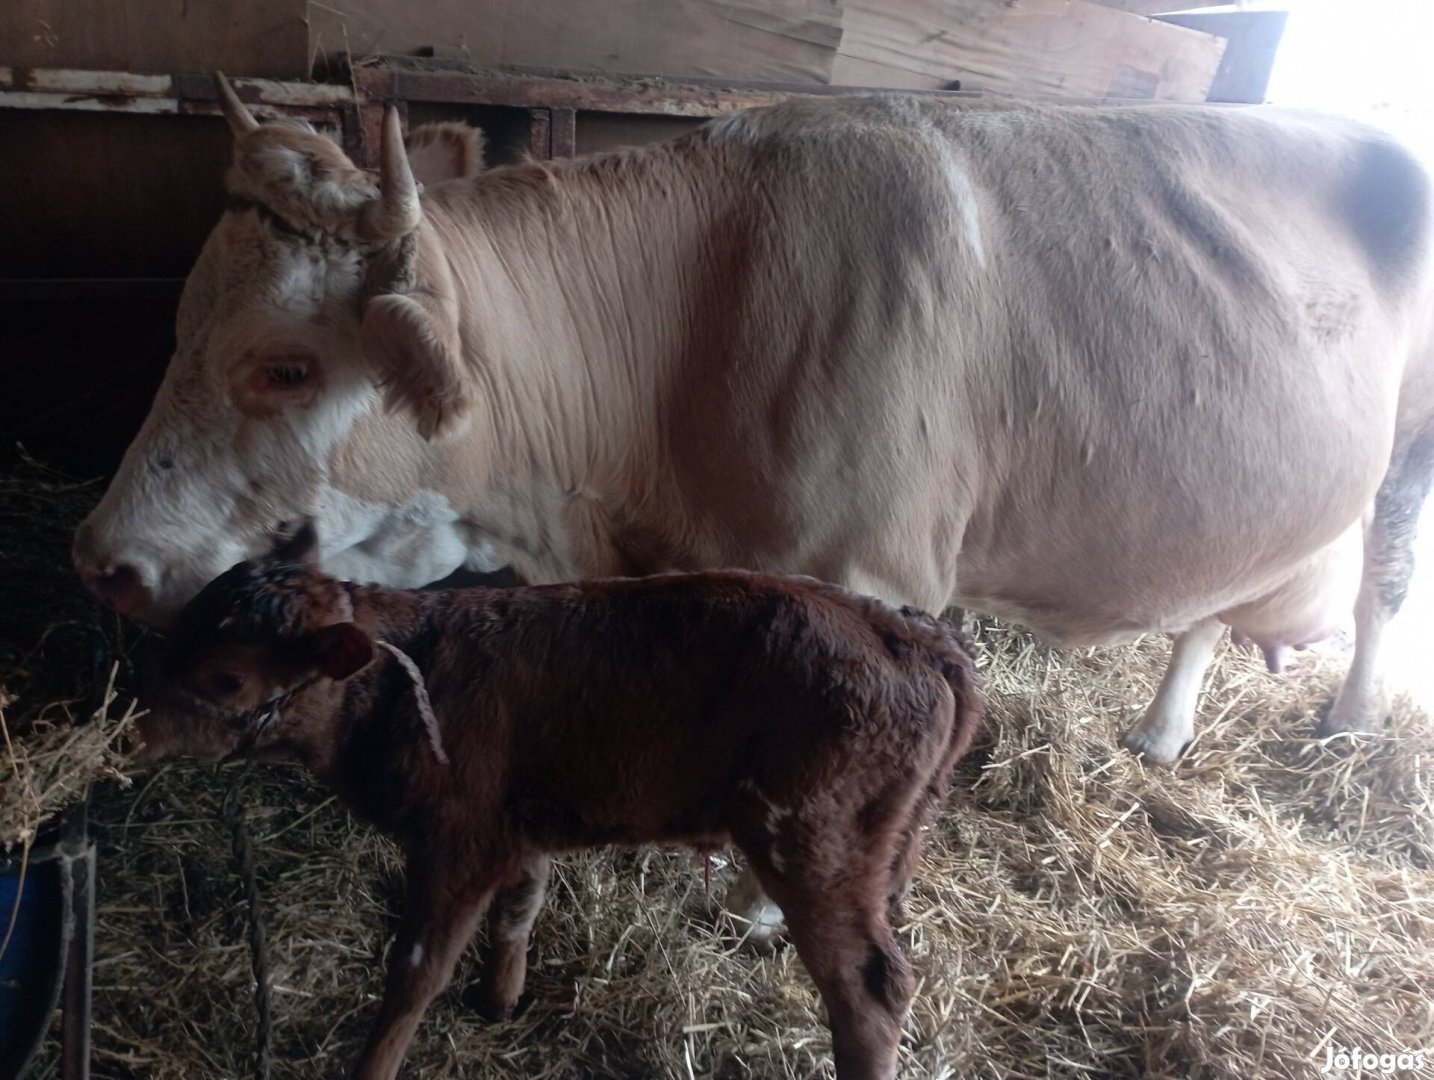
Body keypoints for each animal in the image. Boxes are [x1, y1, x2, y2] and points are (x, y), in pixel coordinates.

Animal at [136, 519, 986, 1072]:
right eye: (185, 618)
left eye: (227, 678)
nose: (130, 721)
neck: (407, 677)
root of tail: (914, 634)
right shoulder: (519, 826)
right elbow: (522, 906)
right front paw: (499, 999)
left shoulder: (458, 839)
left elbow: (414, 971)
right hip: (878, 847)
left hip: (816, 844)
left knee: (872, 991)